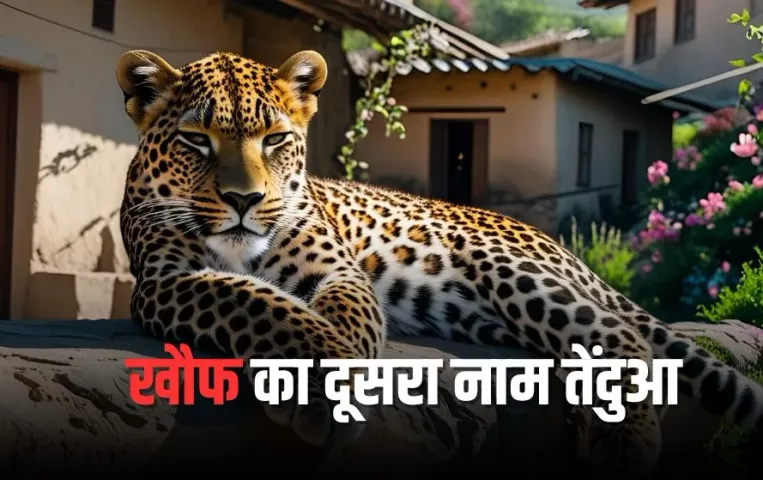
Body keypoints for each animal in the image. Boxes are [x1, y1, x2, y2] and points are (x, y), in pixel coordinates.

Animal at [115, 48, 763, 476]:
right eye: (195, 140)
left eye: (274, 139)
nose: (244, 200)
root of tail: (557, 245)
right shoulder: (164, 279)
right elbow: (257, 299)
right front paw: (327, 375)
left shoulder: (337, 270)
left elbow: (335, 312)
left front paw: (336, 379)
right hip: (482, 315)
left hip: (504, 266)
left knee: (621, 335)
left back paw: (628, 440)